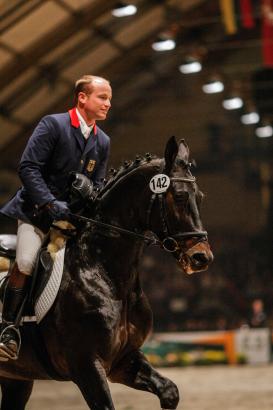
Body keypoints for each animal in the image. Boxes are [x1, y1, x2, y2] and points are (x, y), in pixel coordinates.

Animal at [0, 138, 211, 410]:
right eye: (181, 196)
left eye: (201, 197)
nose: (201, 258)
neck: (104, 275)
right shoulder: (86, 366)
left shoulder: (123, 360)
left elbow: (169, 391)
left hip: (17, 377)